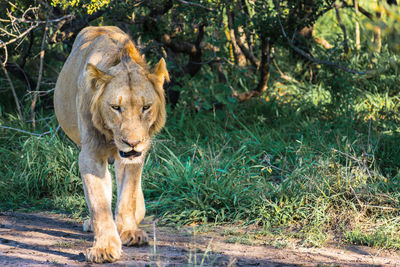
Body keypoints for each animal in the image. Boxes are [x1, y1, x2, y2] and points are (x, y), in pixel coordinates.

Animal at [53, 26, 169, 264]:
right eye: (115, 107)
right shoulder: (90, 155)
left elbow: (128, 195)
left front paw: (129, 231)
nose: (132, 143)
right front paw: (104, 247)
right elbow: (98, 202)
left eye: (146, 107)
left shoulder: (133, 159)